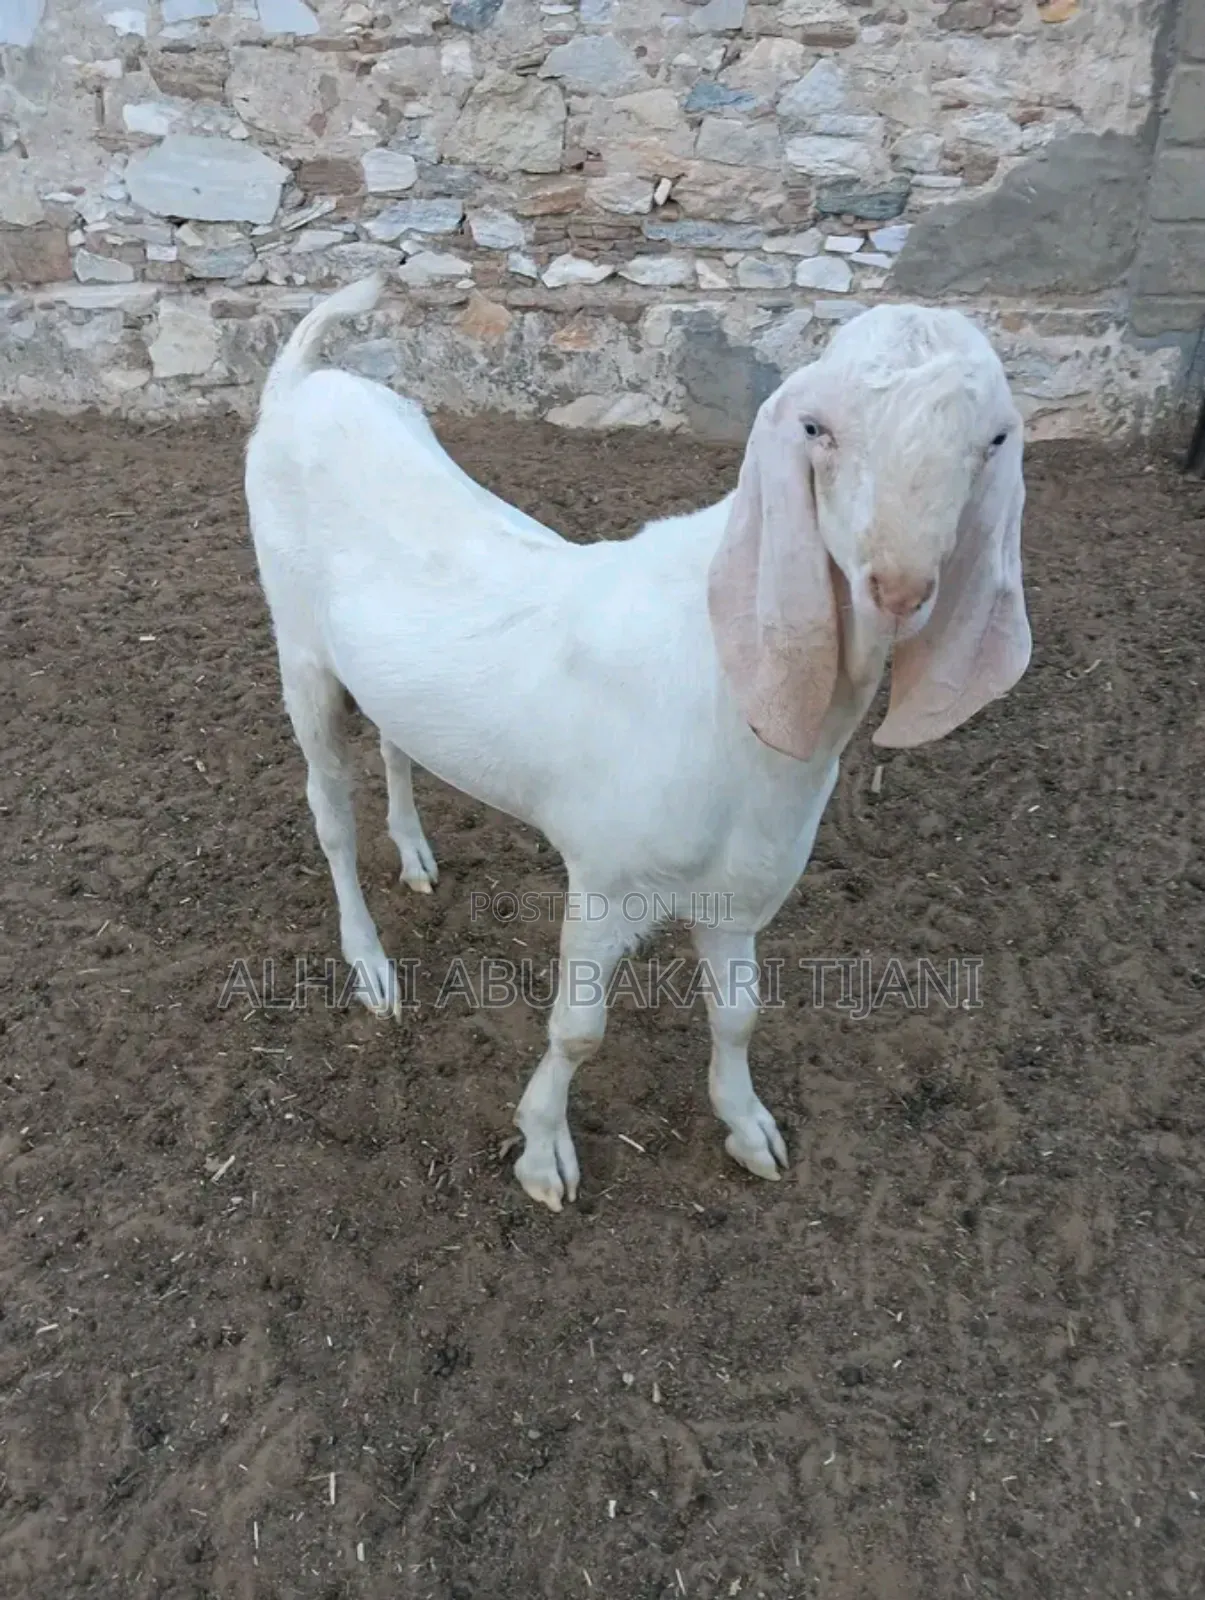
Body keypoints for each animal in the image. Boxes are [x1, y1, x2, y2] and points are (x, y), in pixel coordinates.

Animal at [244, 274, 1031, 1212]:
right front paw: (543, 1153)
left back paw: (416, 857)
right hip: (299, 649)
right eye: (815, 428)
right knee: (328, 811)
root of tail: (301, 381)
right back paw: (370, 967)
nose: (900, 588)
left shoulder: (743, 887)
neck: (729, 688)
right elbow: (579, 1028)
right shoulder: (605, 875)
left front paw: (747, 1127)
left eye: (994, 439)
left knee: (396, 745)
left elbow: (740, 1012)